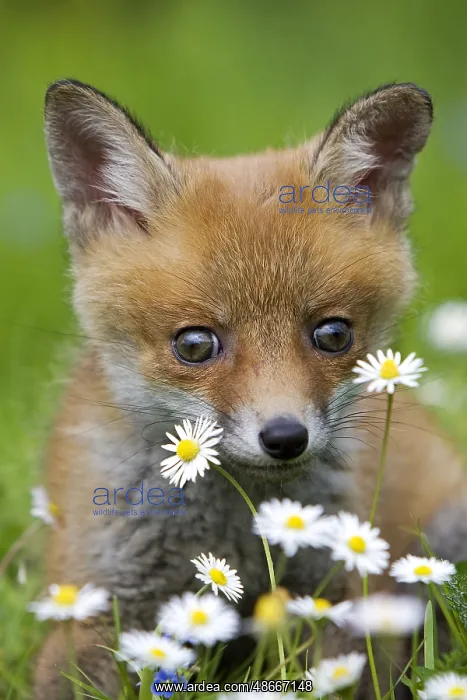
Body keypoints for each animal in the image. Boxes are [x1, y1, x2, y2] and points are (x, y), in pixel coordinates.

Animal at [35, 79, 467, 699]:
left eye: (333, 334)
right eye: (195, 344)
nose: (285, 437)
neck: (236, 530)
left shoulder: (337, 598)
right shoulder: (95, 598)